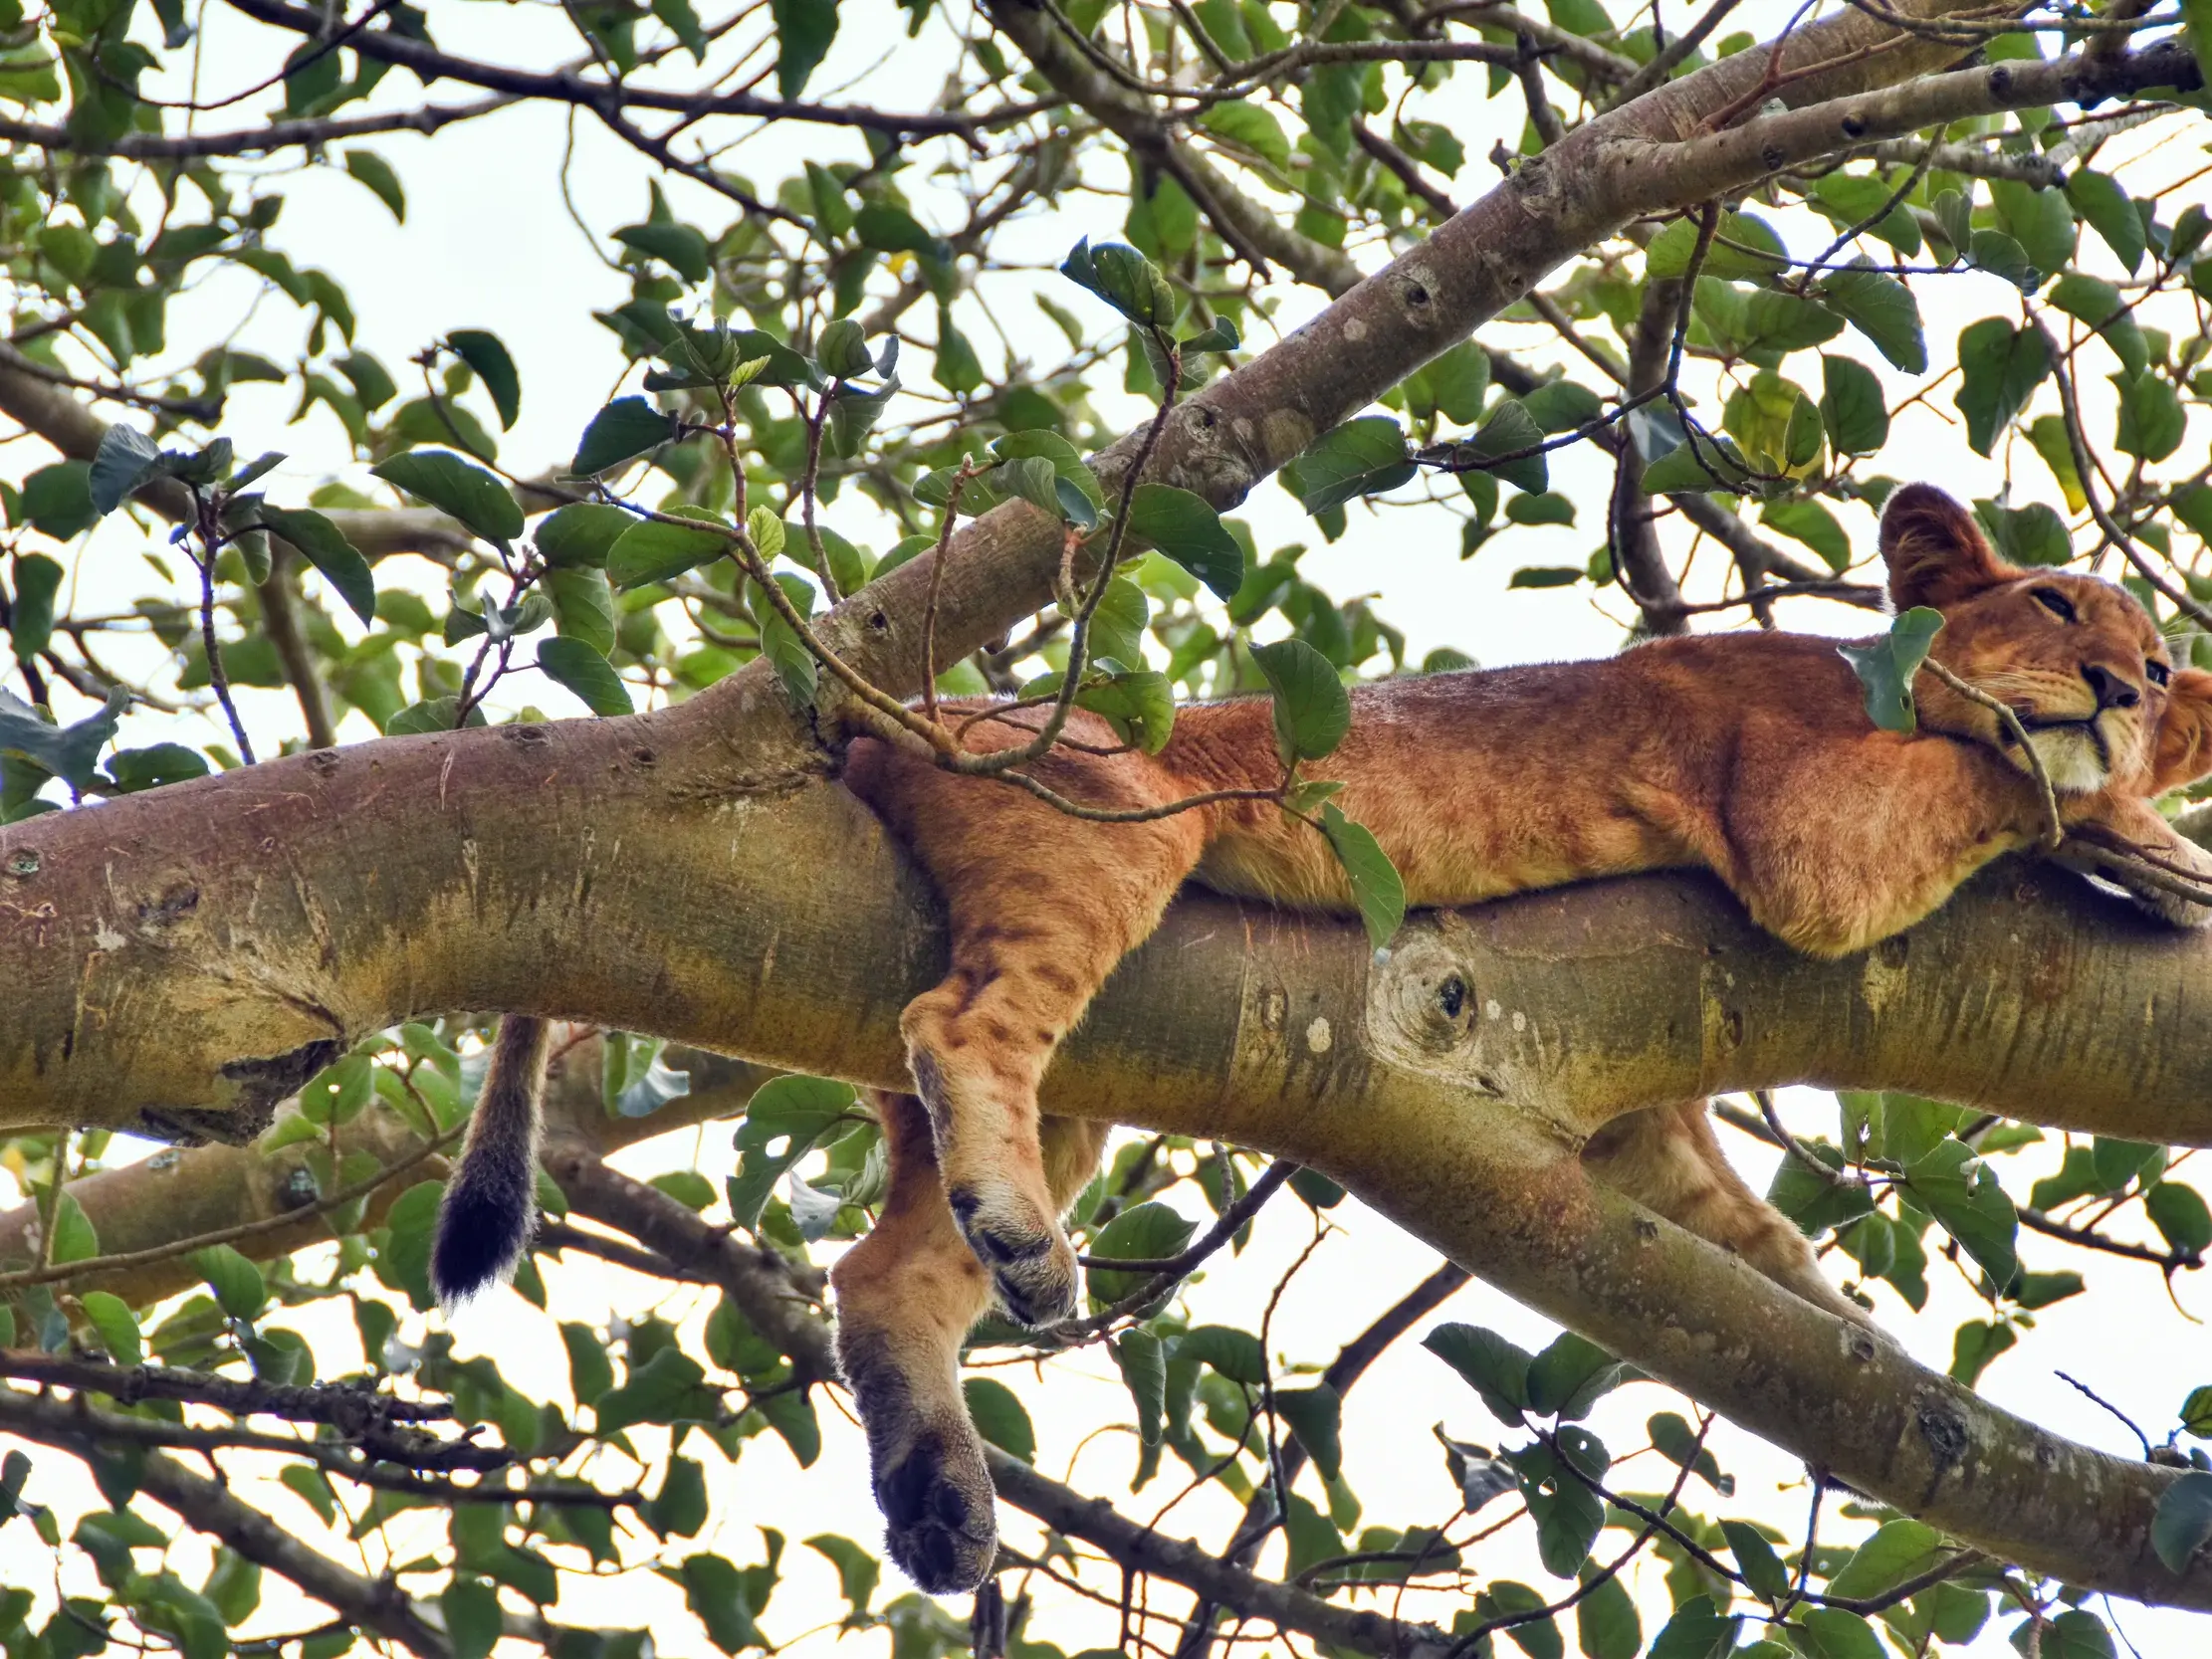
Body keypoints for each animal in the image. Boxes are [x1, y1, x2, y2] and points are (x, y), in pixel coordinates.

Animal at [432, 483, 2212, 1595]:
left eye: (2161, 651)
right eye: (2051, 598)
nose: (2129, 684)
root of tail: (921, 705)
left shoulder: (1647, 1120)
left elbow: (1758, 1243)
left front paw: (1870, 1366)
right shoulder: (1798, 832)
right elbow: (1991, 776)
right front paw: (2138, 827)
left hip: (1067, 1063)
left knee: (887, 1266)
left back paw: (945, 1488)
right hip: (1099, 829)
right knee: (961, 1024)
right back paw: (1021, 1259)